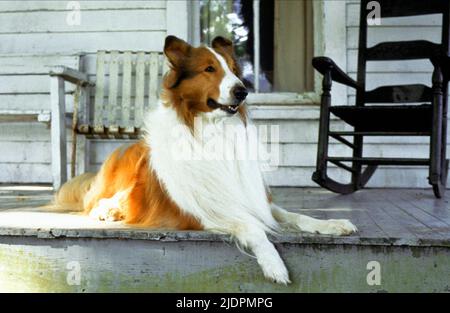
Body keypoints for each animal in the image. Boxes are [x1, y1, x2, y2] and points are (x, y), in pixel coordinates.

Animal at [55, 34, 358, 282]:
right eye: (209, 69)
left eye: (234, 70)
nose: (242, 91)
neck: (214, 131)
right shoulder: (200, 213)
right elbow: (254, 228)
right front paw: (274, 264)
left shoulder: (254, 200)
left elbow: (297, 216)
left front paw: (333, 224)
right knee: (99, 201)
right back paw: (108, 211)